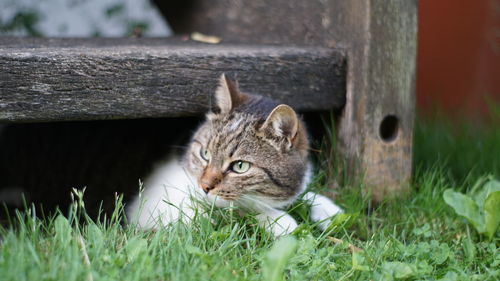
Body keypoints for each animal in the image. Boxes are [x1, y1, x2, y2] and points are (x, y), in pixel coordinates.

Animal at [127, 74, 342, 236]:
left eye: (240, 166)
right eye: (205, 154)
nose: (204, 187)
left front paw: (329, 210)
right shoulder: (153, 206)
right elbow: (225, 216)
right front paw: (277, 220)